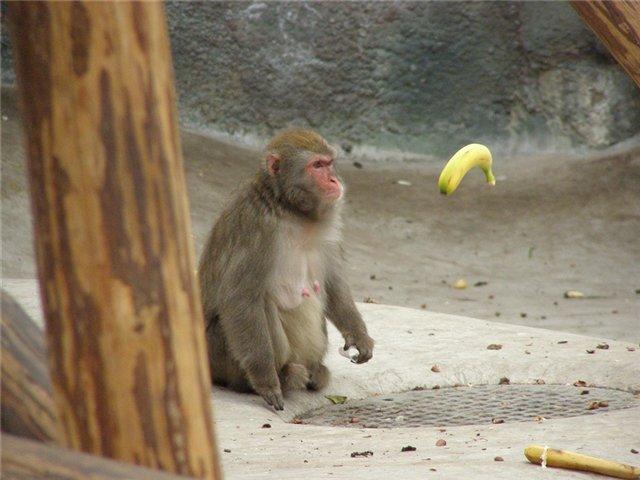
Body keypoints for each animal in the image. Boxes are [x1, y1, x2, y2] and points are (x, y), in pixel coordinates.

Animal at [198, 129, 372, 410]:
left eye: (329, 163)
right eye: (317, 166)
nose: (334, 180)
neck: (289, 208)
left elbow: (333, 282)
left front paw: (359, 337)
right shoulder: (257, 226)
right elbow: (241, 297)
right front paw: (266, 382)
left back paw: (316, 372)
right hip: (219, 355)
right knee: (263, 302)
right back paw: (281, 376)